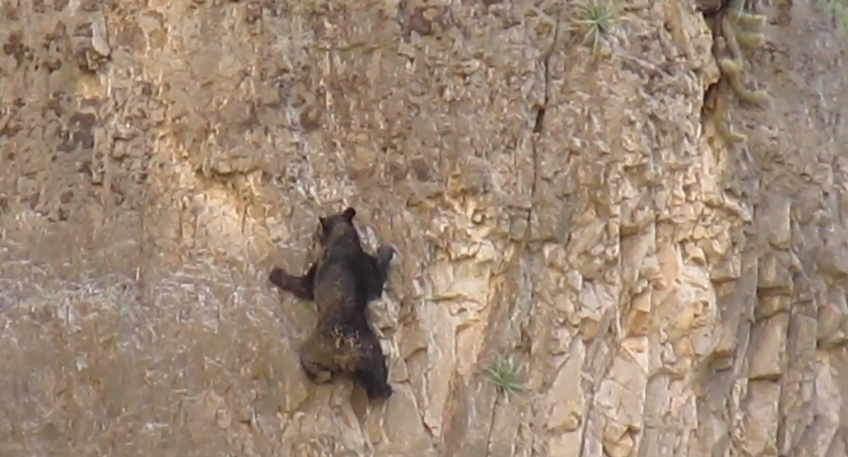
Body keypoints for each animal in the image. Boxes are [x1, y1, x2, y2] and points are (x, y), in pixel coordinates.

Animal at [266, 207, 396, 400]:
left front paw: (276, 274)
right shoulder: (368, 272)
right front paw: (387, 250)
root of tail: (344, 354)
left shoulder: (316, 272)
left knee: (308, 360)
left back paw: (322, 374)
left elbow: (302, 284)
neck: (342, 237)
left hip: (316, 350)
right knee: (377, 376)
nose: (314, 236)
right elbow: (377, 276)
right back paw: (384, 390)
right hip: (370, 352)